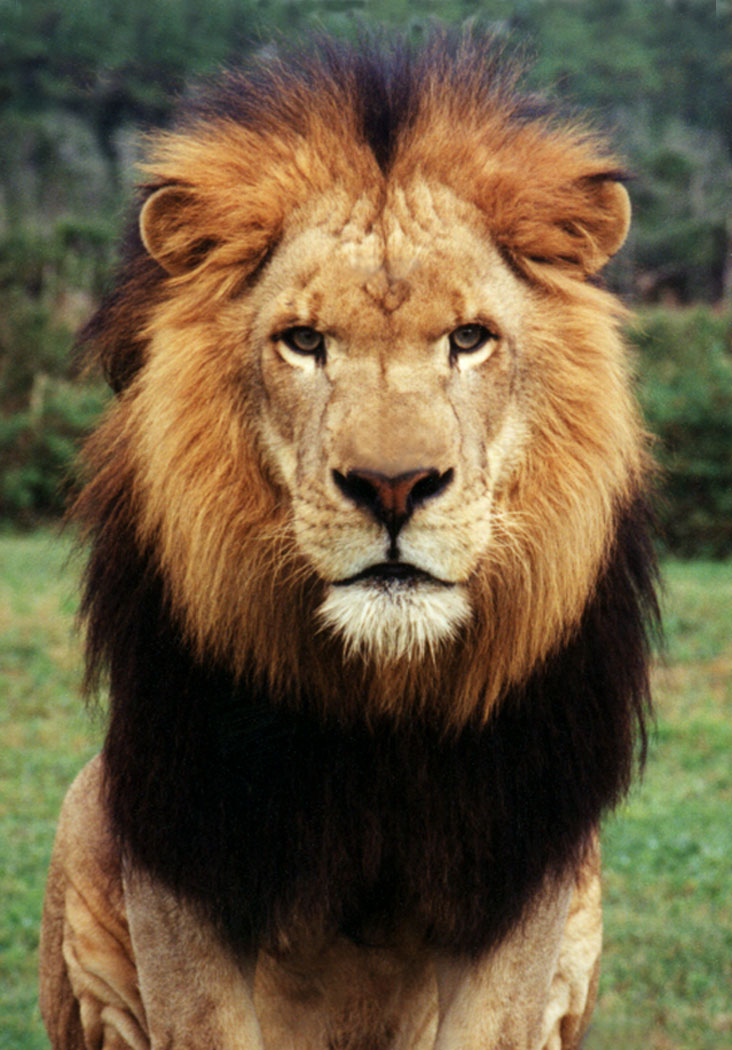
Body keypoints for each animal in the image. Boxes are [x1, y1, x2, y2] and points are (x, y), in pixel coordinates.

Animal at [38, 32, 655, 1050]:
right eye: (303, 341)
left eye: (471, 339)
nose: (393, 487)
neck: (379, 706)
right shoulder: (180, 846)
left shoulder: (520, 860)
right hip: (86, 830)